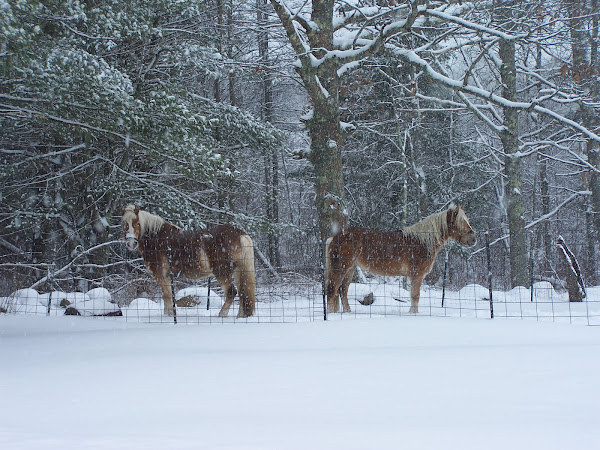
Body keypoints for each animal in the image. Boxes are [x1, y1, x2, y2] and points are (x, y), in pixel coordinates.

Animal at [120, 206, 254, 318]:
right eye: (124, 224)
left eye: (137, 223)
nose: (131, 243)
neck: (157, 239)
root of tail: (240, 234)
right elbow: (168, 296)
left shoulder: (161, 275)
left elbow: (167, 296)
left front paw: (169, 316)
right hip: (238, 271)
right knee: (242, 293)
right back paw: (240, 316)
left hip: (222, 273)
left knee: (232, 292)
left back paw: (222, 315)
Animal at [326, 204, 476, 312]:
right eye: (460, 222)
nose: (473, 239)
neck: (421, 241)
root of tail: (335, 237)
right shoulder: (417, 275)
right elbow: (415, 296)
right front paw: (413, 313)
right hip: (340, 268)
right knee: (332, 291)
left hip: (350, 269)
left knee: (342, 291)